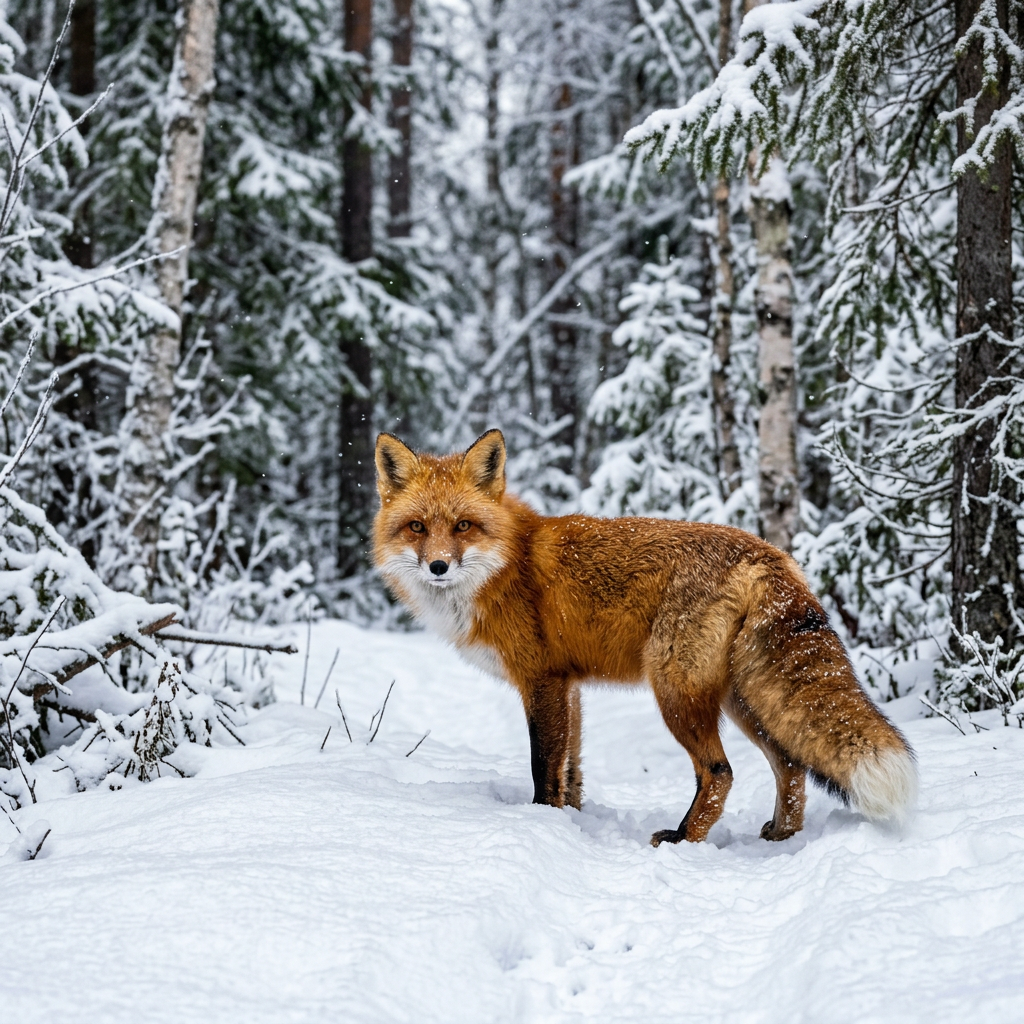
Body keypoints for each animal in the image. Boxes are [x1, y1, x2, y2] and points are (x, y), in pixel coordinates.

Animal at [372, 428, 916, 845]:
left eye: (463, 525)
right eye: (417, 527)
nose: (438, 566)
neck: (505, 563)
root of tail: (768, 552)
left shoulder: (541, 681)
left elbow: (544, 768)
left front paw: (542, 824)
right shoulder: (569, 686)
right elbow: (572, 770)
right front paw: (573, 820)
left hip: (676, 691)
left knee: (721, 771)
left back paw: (683, 838)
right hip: (741, 698)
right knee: (790, 765)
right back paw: (782, 835)